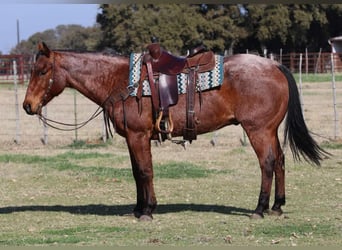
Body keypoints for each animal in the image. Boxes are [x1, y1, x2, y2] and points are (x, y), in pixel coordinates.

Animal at [22, 42, 328, 221]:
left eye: (41, 71)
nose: (27, 105)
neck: (120, 81)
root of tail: (274, 64)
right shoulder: (133, 138)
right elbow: (136, 173)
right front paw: (138, 208)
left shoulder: (138, 136)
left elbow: (145, 171)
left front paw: (148, 211)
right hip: (270, 130)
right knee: (280, 161)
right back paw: (277, 206)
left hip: (258, 130)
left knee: (267, 163)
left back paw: (260, 209)